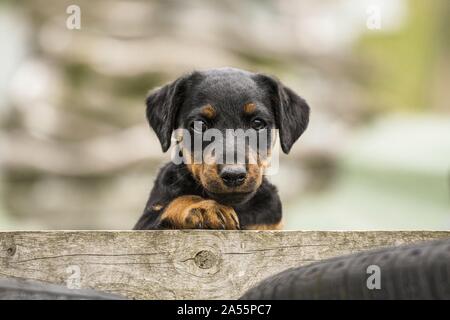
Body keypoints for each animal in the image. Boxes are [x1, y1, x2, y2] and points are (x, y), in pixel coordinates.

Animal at [134, 67, 310, 230]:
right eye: (199, 124)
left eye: (258, 123)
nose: (233, 175)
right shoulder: (145, 223)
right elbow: (178, 201)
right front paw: (206, 208)